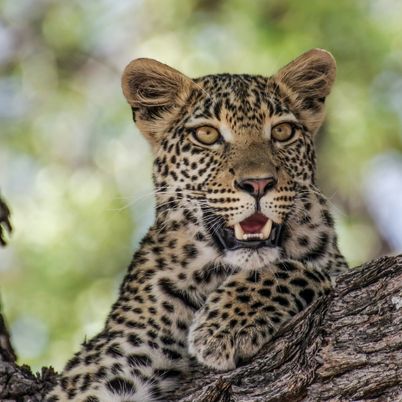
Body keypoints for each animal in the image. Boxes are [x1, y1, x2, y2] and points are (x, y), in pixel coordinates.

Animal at [46, 48, 348, 400]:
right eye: (207, 135)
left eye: (282, 132)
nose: (258, 183)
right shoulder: (114, 356)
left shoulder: (333, 265)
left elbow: (304, 269)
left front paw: (225, 326)